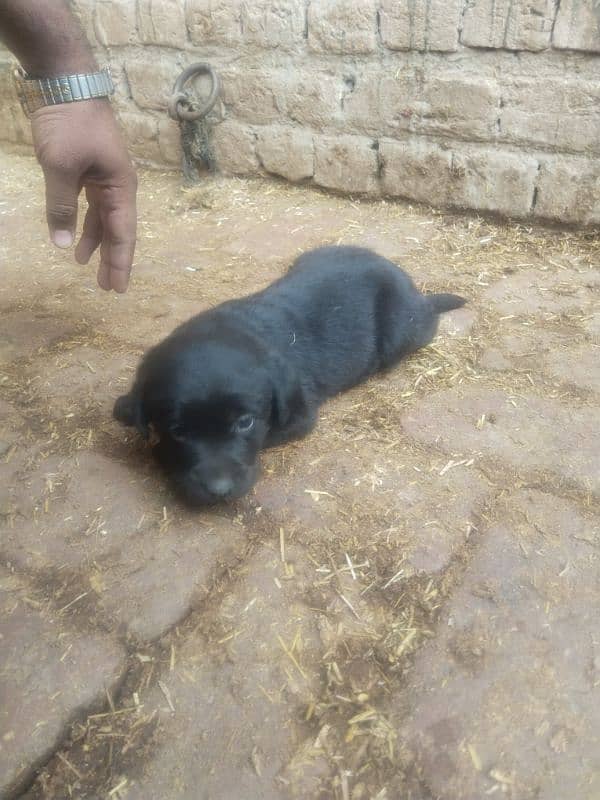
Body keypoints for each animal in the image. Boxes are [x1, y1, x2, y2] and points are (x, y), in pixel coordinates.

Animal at [115, 247, 466, 504]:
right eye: (177, 430)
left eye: (245, 423)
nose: (219, 491)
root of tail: (413, 290)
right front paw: (128, 409)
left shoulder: (299, 417)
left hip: (402, 331)